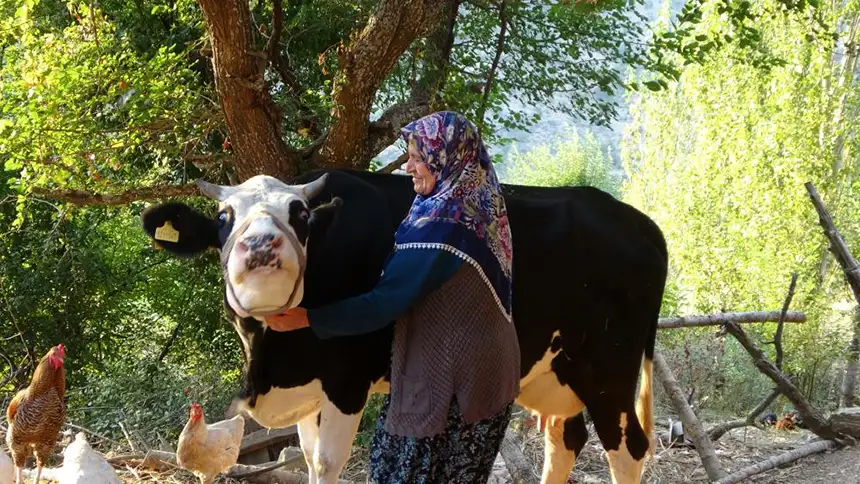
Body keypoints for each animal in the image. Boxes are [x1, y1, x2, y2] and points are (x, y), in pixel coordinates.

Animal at [141, 168, 668, 482]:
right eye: (223, 217)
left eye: (300, 213)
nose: (262, 245)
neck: (272, 357)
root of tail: (639, 221)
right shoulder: (311, 390)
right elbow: (309, 458)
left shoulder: (347, 381)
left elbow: (328, 463)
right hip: (560, 372)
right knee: (564, 440)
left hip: (609, 372)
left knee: (627, 449)